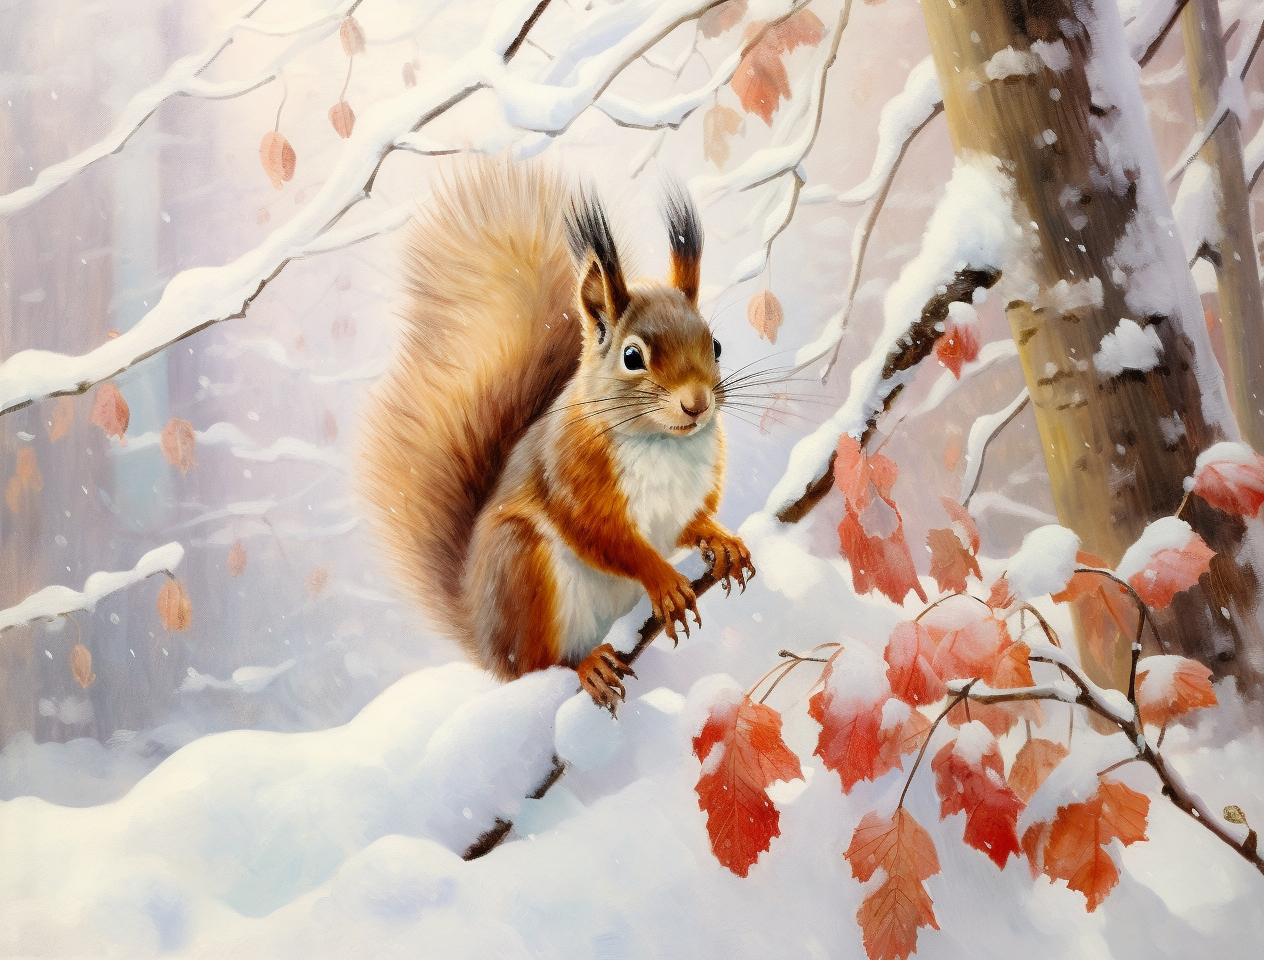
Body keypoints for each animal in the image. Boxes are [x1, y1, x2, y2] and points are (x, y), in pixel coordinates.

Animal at [358, 161, 754, 710]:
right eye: (633, 356)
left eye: (714, 345)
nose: (696, 404)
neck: (663, 441)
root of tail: (486, 644)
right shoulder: (572, 475)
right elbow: (605, 538)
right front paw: (663, 578)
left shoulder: (689, 495)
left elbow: (689, 524)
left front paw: (721, 540)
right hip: (525, 571)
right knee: (539, 663)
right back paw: (587, 665)